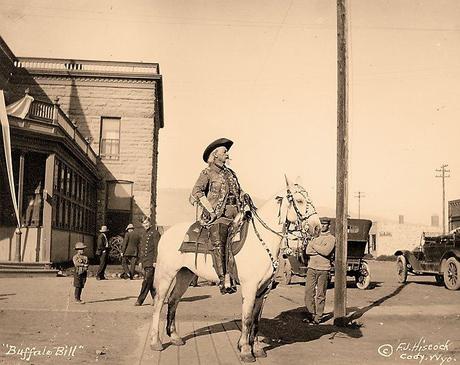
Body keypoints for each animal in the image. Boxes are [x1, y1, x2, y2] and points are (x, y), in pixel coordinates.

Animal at [150, 177, 320, 362]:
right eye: (300, 200)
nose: (317, 227)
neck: (260, 241)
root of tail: (167, 233)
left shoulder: (264, 290)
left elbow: (256, 319)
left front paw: (256, 348)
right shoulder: (250, 287)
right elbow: (247, 319)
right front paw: (245, 350)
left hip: (185, 274)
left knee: (173, 300)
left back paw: (174, 337)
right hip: (166, 274)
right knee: (159, 302)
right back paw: (155, 342)